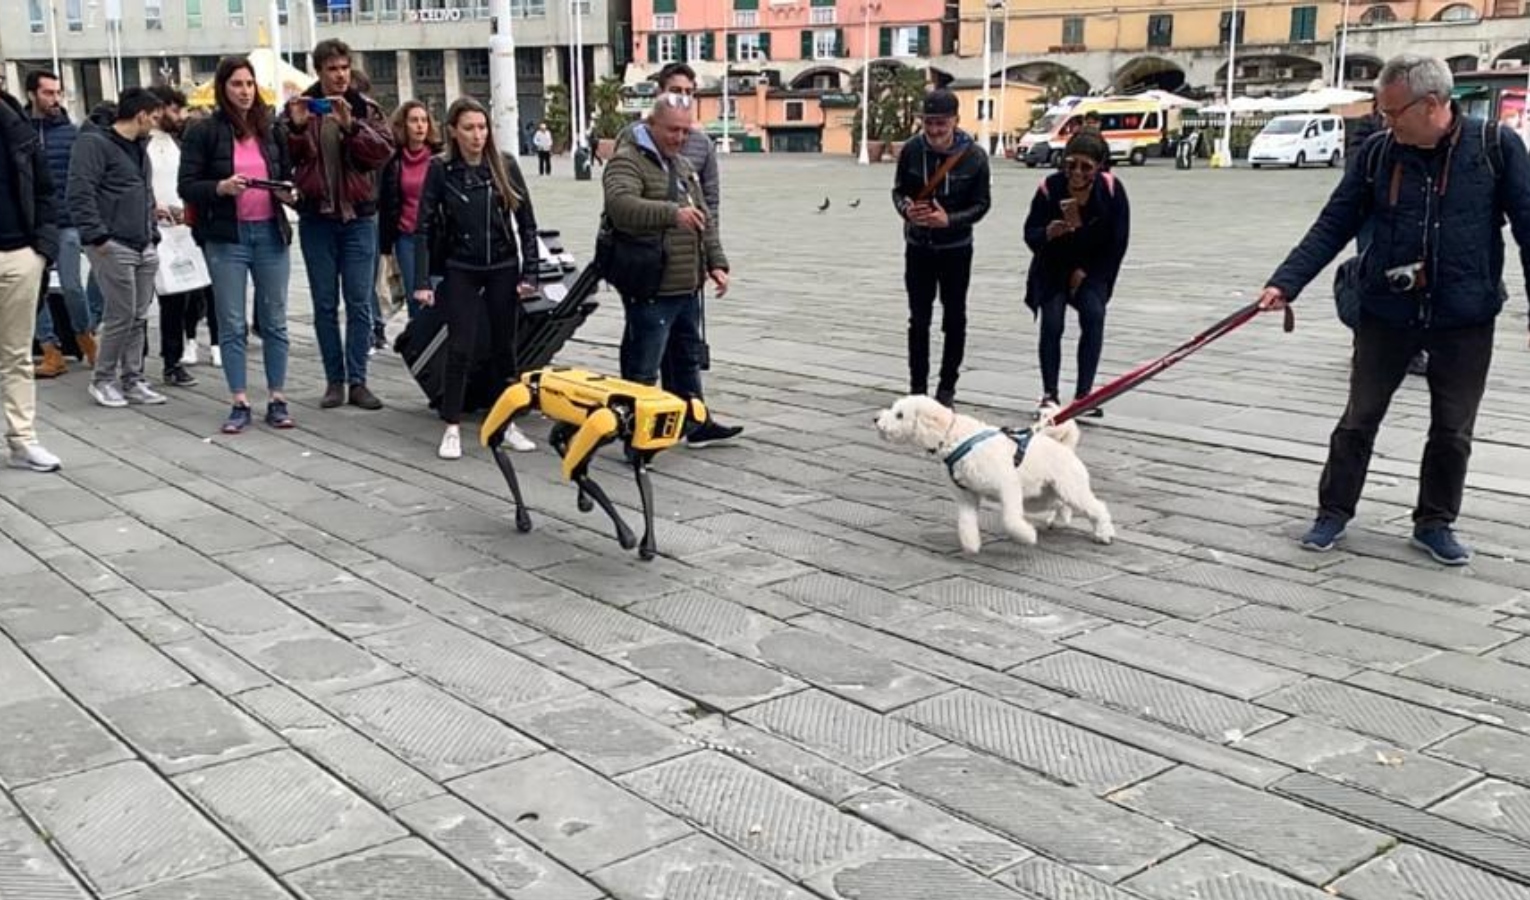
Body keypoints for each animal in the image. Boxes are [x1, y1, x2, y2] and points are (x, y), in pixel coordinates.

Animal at [477, 365, 703, 554]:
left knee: (557, 438)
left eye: (675, 422)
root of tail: (533, 373)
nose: (650, 454)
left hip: (570, 419)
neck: (628, 412)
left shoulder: (614, 433)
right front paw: (627, 535)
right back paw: (523, 517)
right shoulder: (604, 421)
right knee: (495, 439)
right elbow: (577, 471)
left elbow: (641, 479)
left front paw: (648, 544)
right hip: (524, 396)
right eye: (667, 422)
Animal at [875, 394, 1113, 551]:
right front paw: (971, 545)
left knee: (1097, 507)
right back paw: (1060, 522)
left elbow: (1010, 520)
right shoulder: (966, 495)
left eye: (899, 415)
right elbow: (966, 522)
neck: (956, 438)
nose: (876, 419)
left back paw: (1104, 533)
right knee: (1062, 505)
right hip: (1041, 495)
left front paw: (1027, 537)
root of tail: (1066, 448)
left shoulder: (1008, 486)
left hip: (1069, 488)